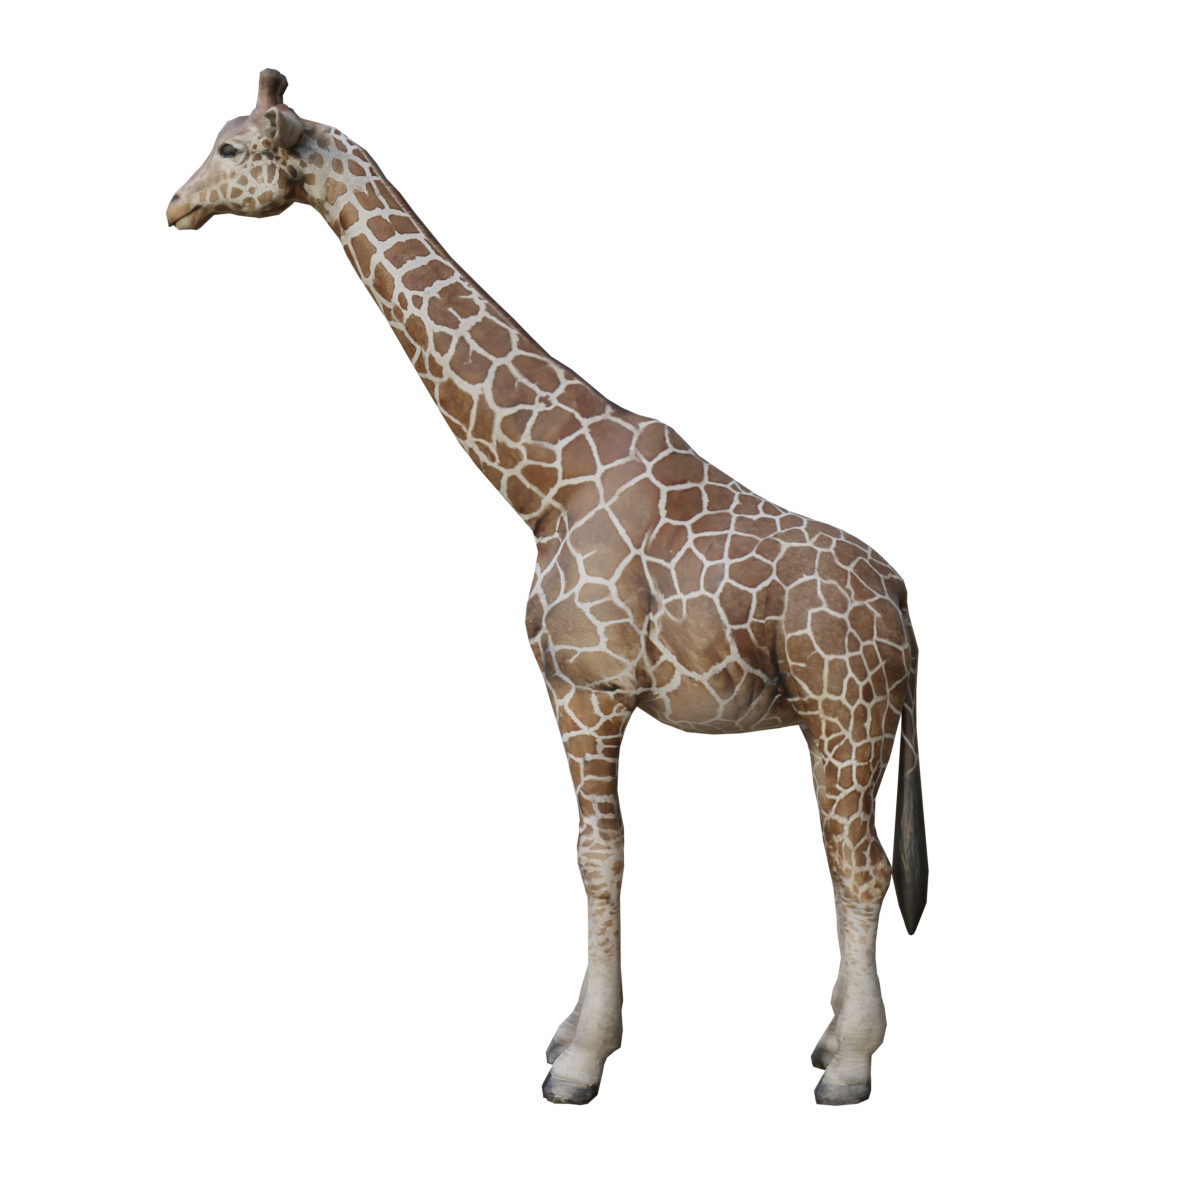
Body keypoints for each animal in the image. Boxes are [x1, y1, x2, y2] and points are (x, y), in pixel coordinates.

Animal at [166, 68, 928, 1107]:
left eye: (232, 150)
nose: (176, 207)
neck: (546, 480)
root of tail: (902, 604)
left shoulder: (587, 687)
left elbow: (598, 857)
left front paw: (579, 1060)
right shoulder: (579, 688)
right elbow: (595, 854)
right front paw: (571, 1032)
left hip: (847, 714)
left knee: (860, 866)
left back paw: (847, 1066)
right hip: (849, 723)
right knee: (851, 859)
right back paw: (827, 1041)